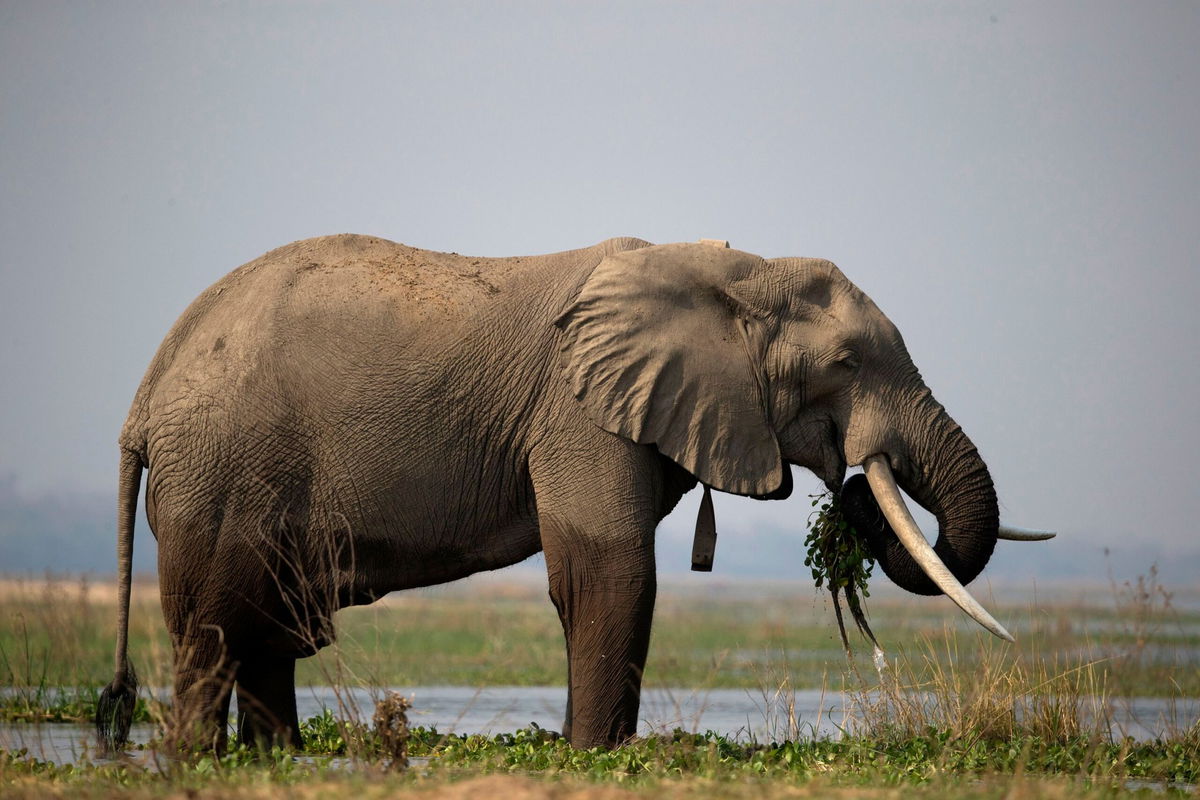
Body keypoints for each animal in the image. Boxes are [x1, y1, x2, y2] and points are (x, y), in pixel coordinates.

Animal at [96, 231, 1051, 753]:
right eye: (847, 364)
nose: (853, 492)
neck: (731, 268)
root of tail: (144, 394)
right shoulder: (578, 410)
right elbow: (609, 574)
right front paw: (595, 755)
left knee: (267, 632)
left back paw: (281, 760)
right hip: (222, 471)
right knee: (217, 632)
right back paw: (200, 761)